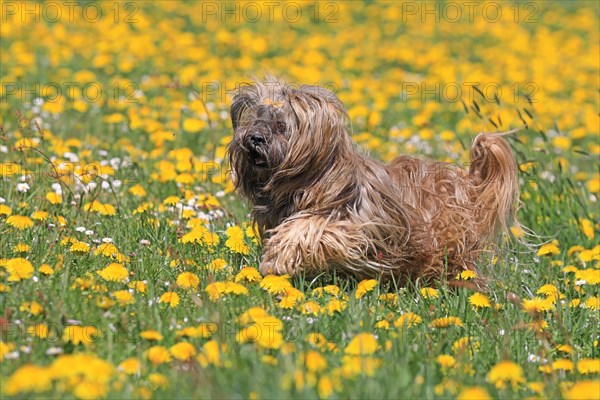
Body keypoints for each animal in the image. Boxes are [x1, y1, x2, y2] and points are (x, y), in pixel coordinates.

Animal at [227, 78, 516, 282]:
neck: (310, 181)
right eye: (256, 120)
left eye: (282, 127)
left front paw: (275, 260)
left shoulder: (355, 226)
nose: (254, 138)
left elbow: (308, 229)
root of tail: (467, 184)